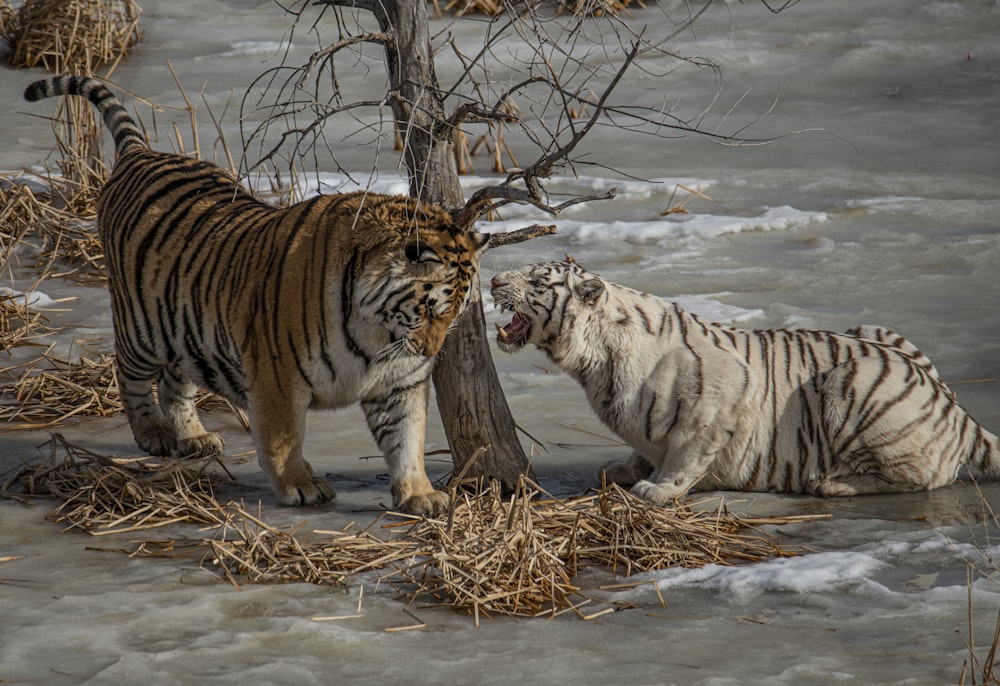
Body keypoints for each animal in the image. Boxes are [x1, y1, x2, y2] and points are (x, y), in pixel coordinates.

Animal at [26, 75, 488, 516]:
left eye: (456, 314)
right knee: (129, 374)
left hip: (184, 329)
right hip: (142, 325)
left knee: (175, 383)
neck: (377, 334)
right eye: (429, 308)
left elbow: (407, 439)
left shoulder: (400, 381)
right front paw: (302, 487)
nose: (430, 353)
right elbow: (284, 439)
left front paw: (419, 496)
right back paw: (153, 433)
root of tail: (141, 153)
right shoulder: (277, 374)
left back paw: (194, 437)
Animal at [492, 260, 1000, 502]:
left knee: (923, 477)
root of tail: (957, 410)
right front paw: (622, 469)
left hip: (854, 380)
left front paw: (658, 488)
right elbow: (645, 447)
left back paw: (832, 484)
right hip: (877, 332)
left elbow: (686, 452)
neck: (592, 356)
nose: (494, 280)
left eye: (536, 281)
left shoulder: (724, 388)